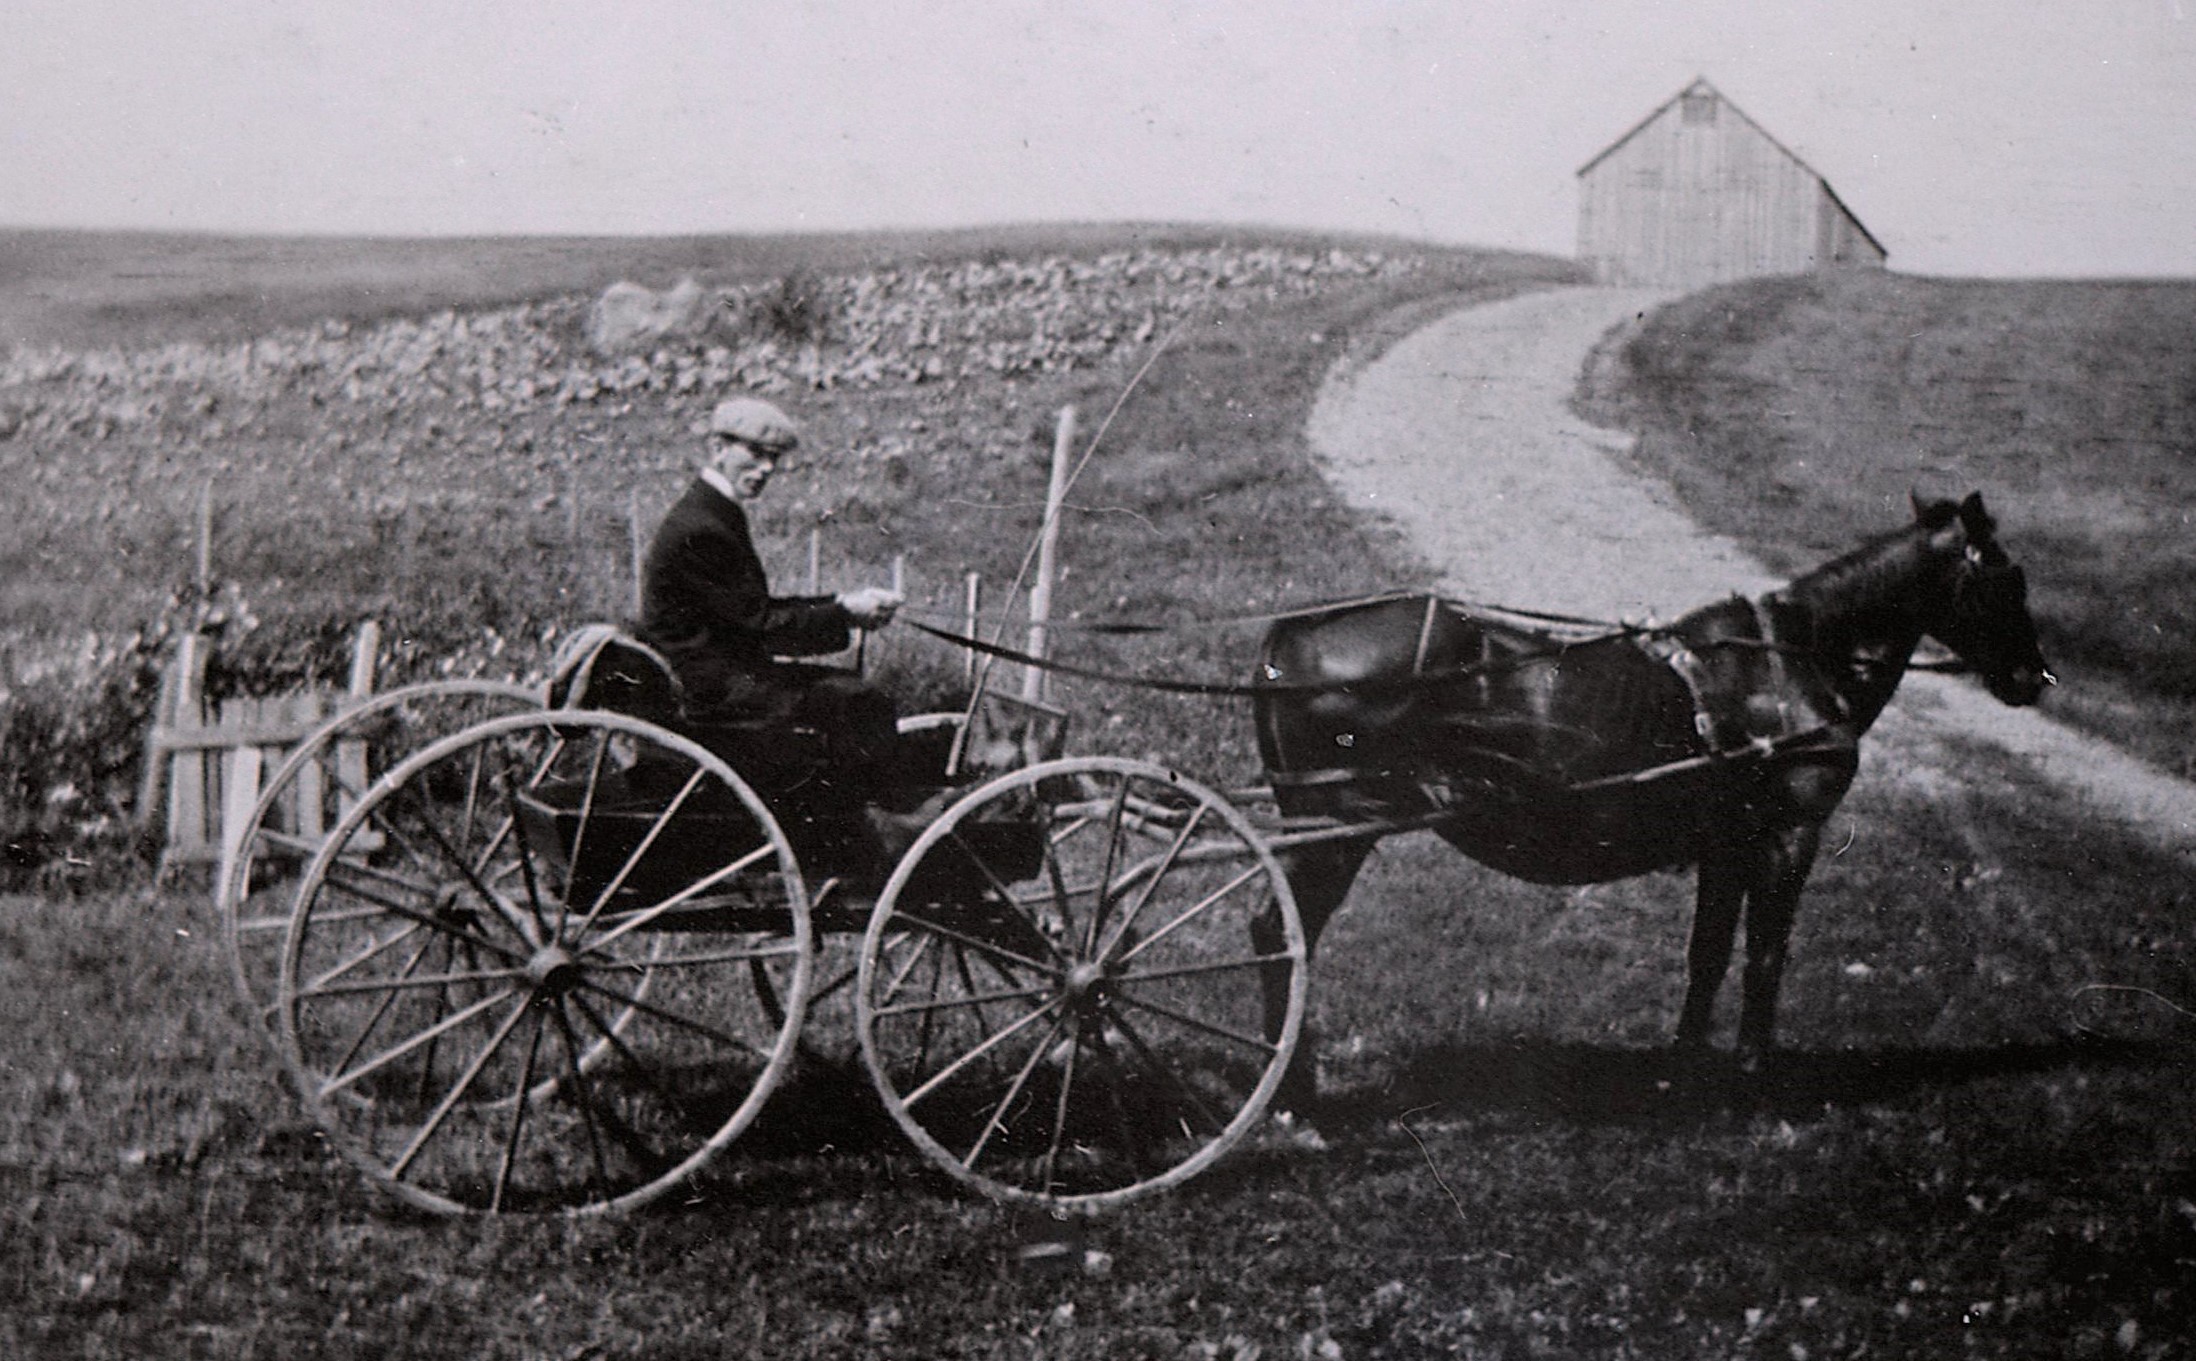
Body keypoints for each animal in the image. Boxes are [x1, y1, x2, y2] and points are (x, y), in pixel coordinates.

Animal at [1264, 491, 2046, 1106]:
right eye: (2007, 575)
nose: (2034, 678)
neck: (1786, 665)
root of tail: (1289, 640)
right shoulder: (1789, 834)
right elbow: (1765, 956)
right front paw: (1751, 1077)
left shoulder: (1729, 842)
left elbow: (1709, 954)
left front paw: (1683, 1070)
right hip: (1336, 827)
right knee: (1281, 936)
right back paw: (1291, 1096)